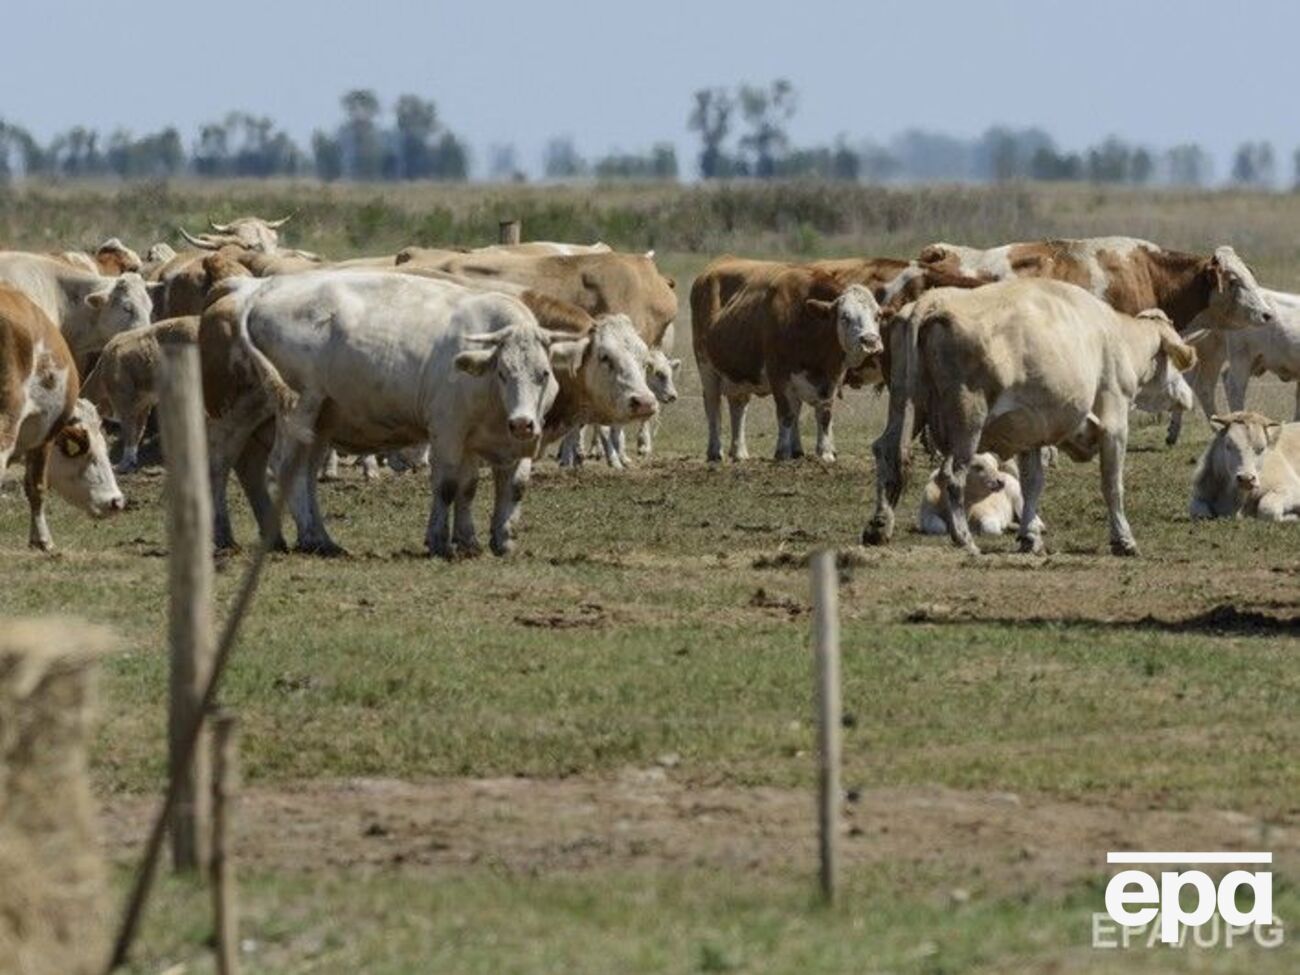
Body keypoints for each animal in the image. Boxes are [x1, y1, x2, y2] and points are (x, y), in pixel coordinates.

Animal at [80, 316, 199, 472]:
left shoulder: (123, 400)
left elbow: (129, 431)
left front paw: (123, 464)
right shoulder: (143, 403)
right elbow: (138, 431)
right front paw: (132, 459)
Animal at [865, 281, 1197, 556]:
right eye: (1173, 363)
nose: (1188, 396)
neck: (1117, 338)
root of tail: (931, 301)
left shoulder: (1030, 435)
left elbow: (1031, 484)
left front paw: (1029, 536)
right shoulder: (1114, 426)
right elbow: (1112, 485)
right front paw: (1123, 540)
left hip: (906, 403)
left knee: (886, 451)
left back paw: (879, 526)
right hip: (968, 421)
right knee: (952, 475)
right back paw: (964, 539)